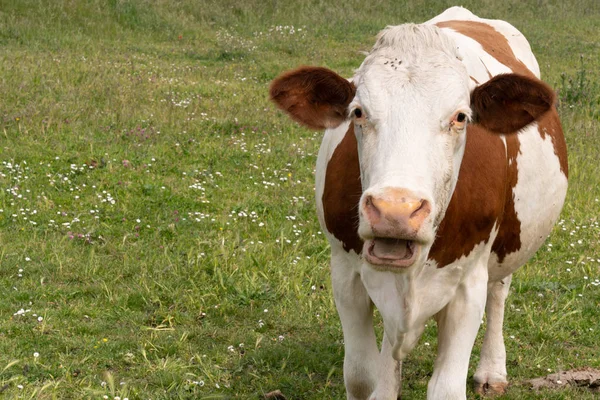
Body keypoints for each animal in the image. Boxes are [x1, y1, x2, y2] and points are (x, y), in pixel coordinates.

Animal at [270, 6, 564, 400]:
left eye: (460, 116)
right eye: (358, 112)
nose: (395, 211)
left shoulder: (468, 284)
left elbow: (446, 388)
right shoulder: (345, 274)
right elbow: (361, 376)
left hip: (509, 245)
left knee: (499, 293)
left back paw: (491, 370)